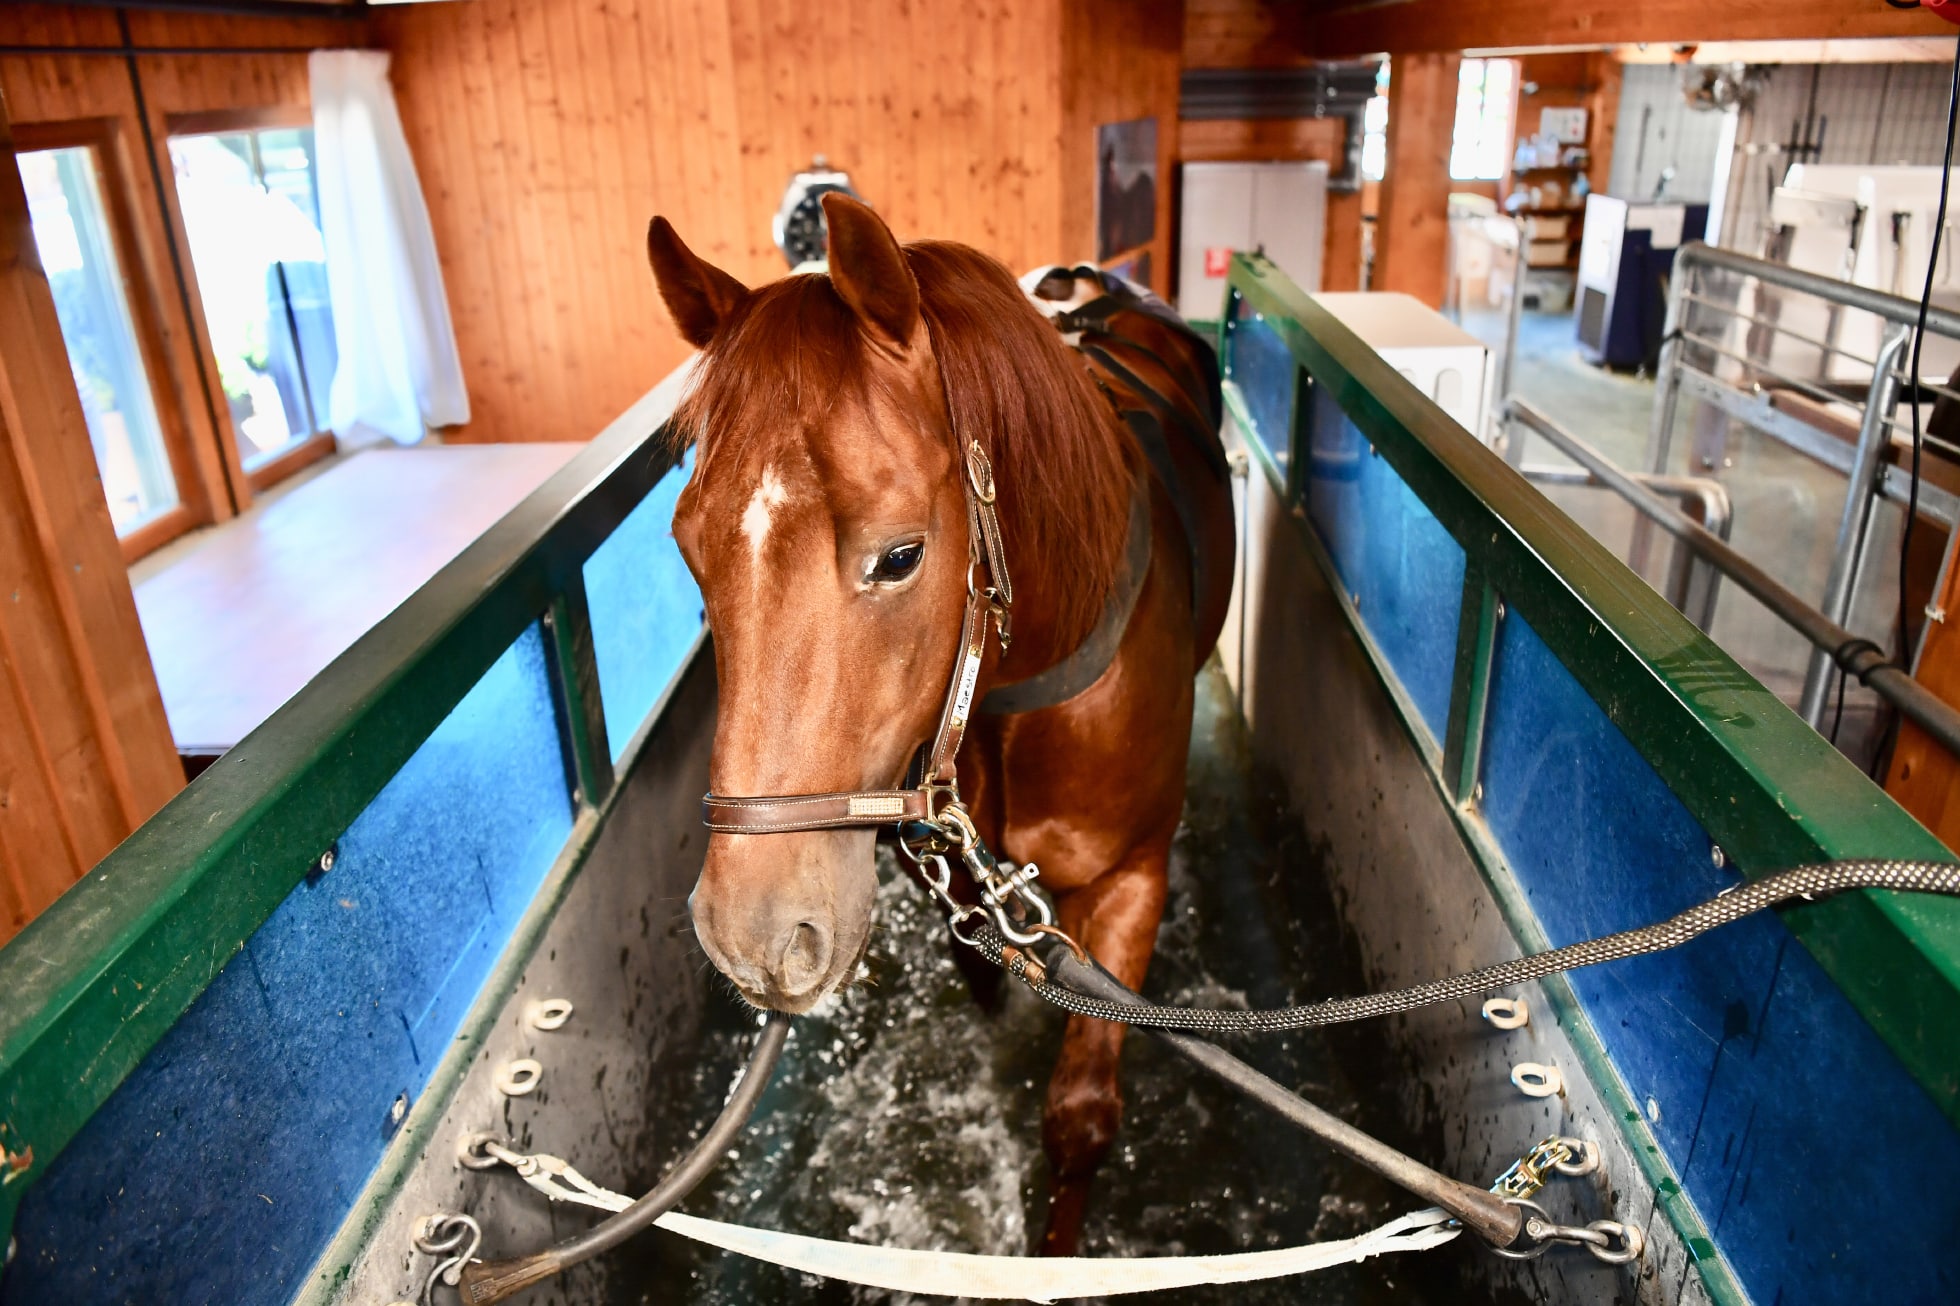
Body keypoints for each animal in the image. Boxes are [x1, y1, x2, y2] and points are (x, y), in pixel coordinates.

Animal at [647, 192, 1234, 1255]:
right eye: (689, 549)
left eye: (900, 556)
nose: (754, 934)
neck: (1015, 695)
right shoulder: (956, 876)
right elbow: (984, 968)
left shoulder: (1132, 880)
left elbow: (1080, 1119)